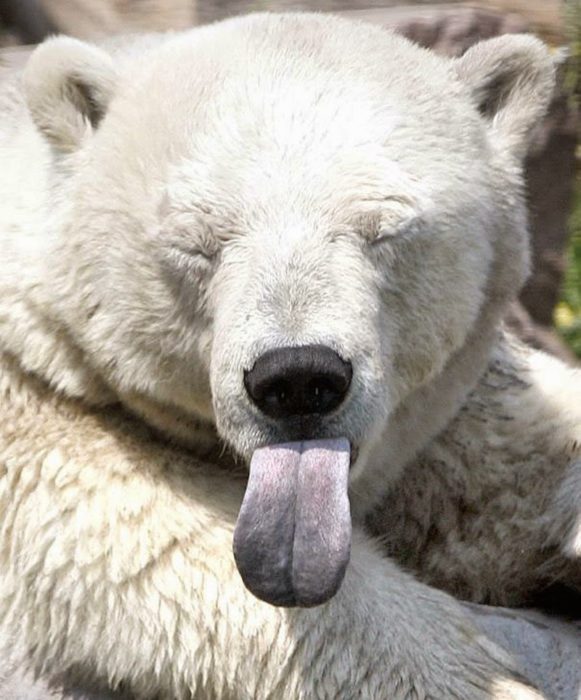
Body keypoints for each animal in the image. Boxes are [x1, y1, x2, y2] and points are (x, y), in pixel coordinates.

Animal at [1, 10, 580, 700]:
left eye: (385, 228)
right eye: (197, 242)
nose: (299, 378)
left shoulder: (452, 414)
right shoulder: (38, 413)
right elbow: (150, 543)